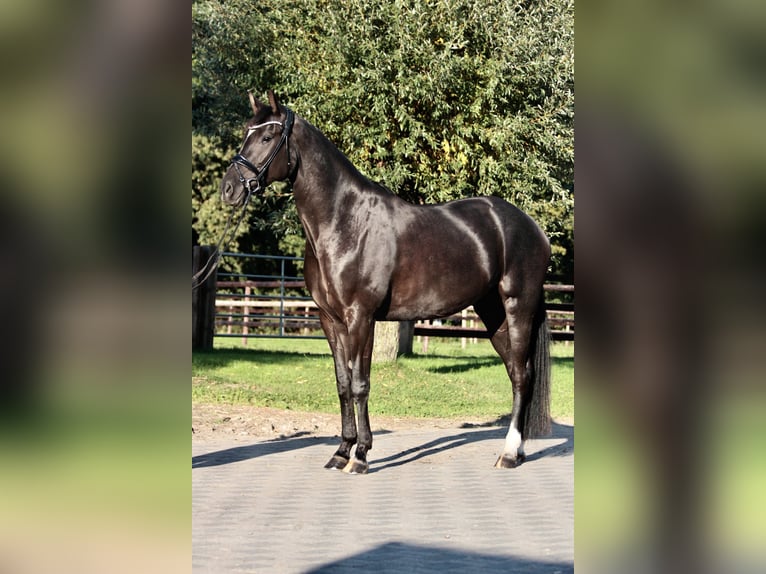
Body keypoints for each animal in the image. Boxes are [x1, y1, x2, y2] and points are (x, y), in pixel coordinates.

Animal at [222, 92, 552, 474]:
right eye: (245, 133)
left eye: (267, 137)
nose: (229, 189)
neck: (344, 221)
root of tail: (531, 226)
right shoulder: (330, 319)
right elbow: (343, 383)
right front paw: (342, 451)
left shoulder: (360, 317)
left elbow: (361, 384)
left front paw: (361, 456)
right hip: (492, 313)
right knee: (516, 373)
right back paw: (517, 451)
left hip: (518, 306)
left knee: (523, 376)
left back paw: (510, 454)